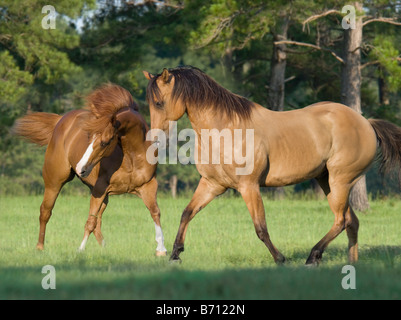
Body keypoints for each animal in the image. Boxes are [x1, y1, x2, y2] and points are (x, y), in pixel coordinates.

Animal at [12, 84, 166, 256]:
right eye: (88, 137)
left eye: (106, 142)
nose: (81, 168)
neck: (131, 157)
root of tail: (60, 120)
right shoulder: (100, 189)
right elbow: (90, 221)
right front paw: (80, 250)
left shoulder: (148, 186)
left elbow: (155, 213)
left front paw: (161, 250)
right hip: (54, 183)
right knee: (45, 211)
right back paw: (39, 247)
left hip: (103, 196)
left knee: (98, 222)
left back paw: (104, 248)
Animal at [145, 65, 401, 264]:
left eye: (159, 102)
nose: (155, 138)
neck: (226, 129)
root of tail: (366, 123)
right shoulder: (212, 185)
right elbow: (187, 213)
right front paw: (175, 254)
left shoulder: (249, 187)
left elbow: (261, 228)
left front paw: (280, 259)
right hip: (327, 181)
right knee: (352, 222)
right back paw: (349, 264)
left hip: (340, 181)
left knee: (341, 221)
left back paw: (313, 256)